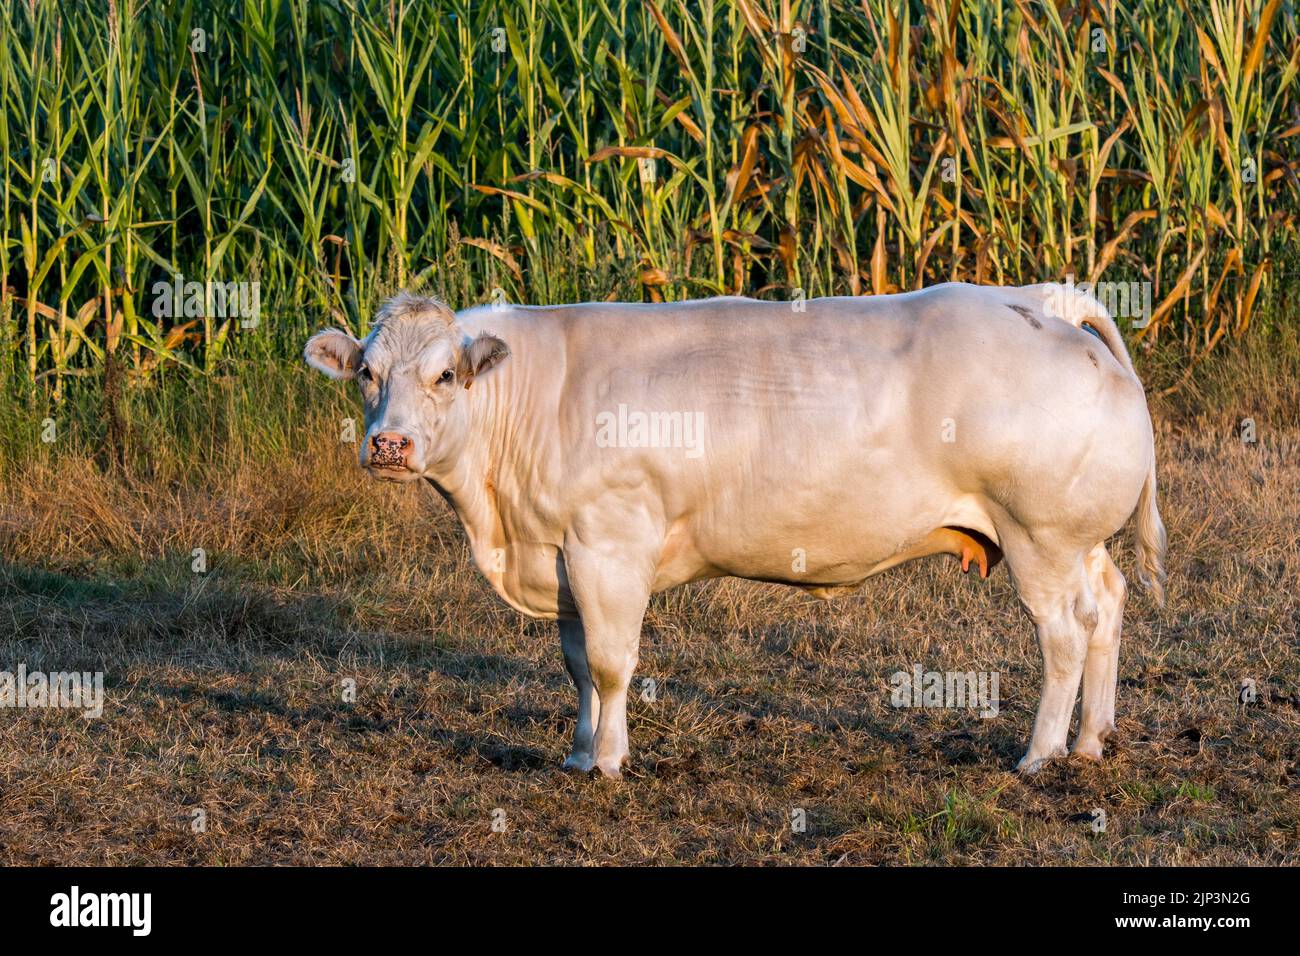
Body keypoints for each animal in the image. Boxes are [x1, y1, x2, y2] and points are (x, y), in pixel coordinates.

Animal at [304, 284, 1166, 779]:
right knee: (1107, 607)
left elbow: (612, 665)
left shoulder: (610, 544)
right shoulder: (565, 557)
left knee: (1063, 635)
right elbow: (578, 665)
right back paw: (1092, 740)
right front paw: (579, 754)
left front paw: (609, 762)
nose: (388, 445)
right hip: (1076, 540)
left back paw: (1039, 754)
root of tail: (1040, 300)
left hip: (1037, 536)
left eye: (446, 375)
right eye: (367, 374)